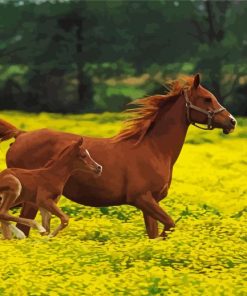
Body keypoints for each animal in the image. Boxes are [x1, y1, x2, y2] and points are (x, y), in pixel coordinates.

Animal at [0, 74, 236, 238]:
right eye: (207, 99)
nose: (231, 121)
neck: (154, 150)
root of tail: (21, 135)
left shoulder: (150, 203)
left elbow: (154, 234)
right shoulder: (142, 198)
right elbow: (169, 225)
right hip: (30, 200)